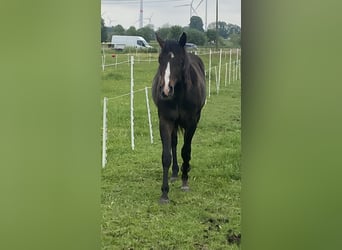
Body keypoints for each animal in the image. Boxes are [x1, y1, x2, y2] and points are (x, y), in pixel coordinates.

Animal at [152, 32, 206, 203]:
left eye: (180, 61)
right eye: (160, 59)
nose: (165, 90)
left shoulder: (192, 123)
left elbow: (186, 151)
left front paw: (185, 181)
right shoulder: (165, 121)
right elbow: (166, 156)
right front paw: (164, 193)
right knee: (174, 143)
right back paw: (175, 173)